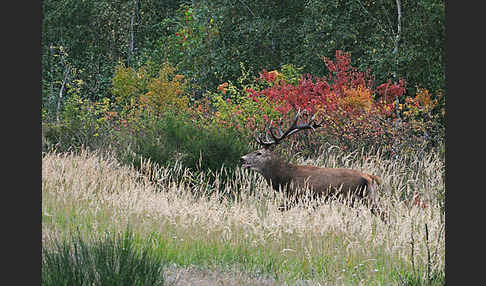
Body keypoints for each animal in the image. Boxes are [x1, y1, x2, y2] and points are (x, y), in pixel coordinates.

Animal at [240, 109, 388, 219]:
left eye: (259, 153)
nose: (242, 158)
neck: (285, 178)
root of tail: (371, 177)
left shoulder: (299, 196)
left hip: (356, 197)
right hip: (369, 197)